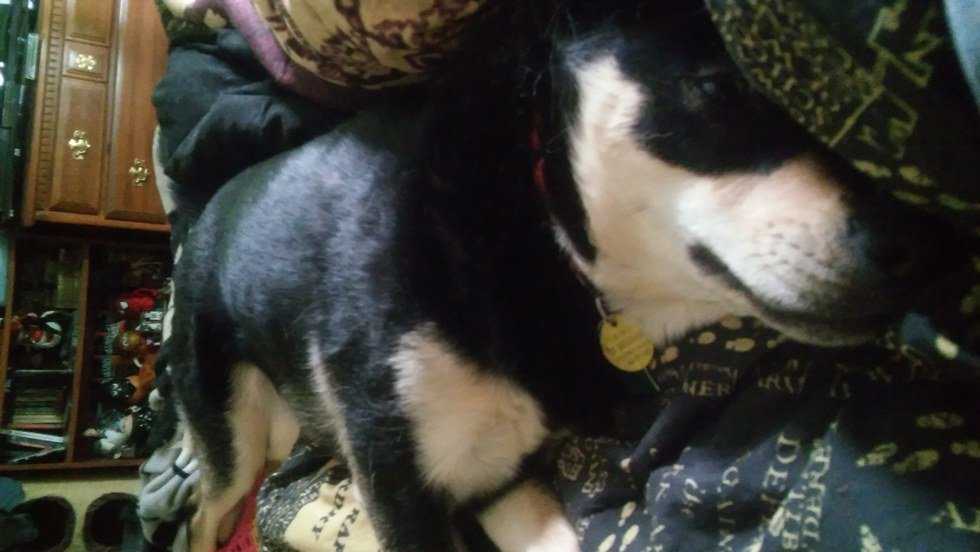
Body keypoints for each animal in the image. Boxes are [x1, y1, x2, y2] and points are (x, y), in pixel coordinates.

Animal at [167, 2, 951, 550]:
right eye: (721, 88)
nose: (924, 250)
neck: (537, 227)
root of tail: (199, 223)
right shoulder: (401, 483)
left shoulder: (499, 475)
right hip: (233, 426)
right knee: (206, 511)